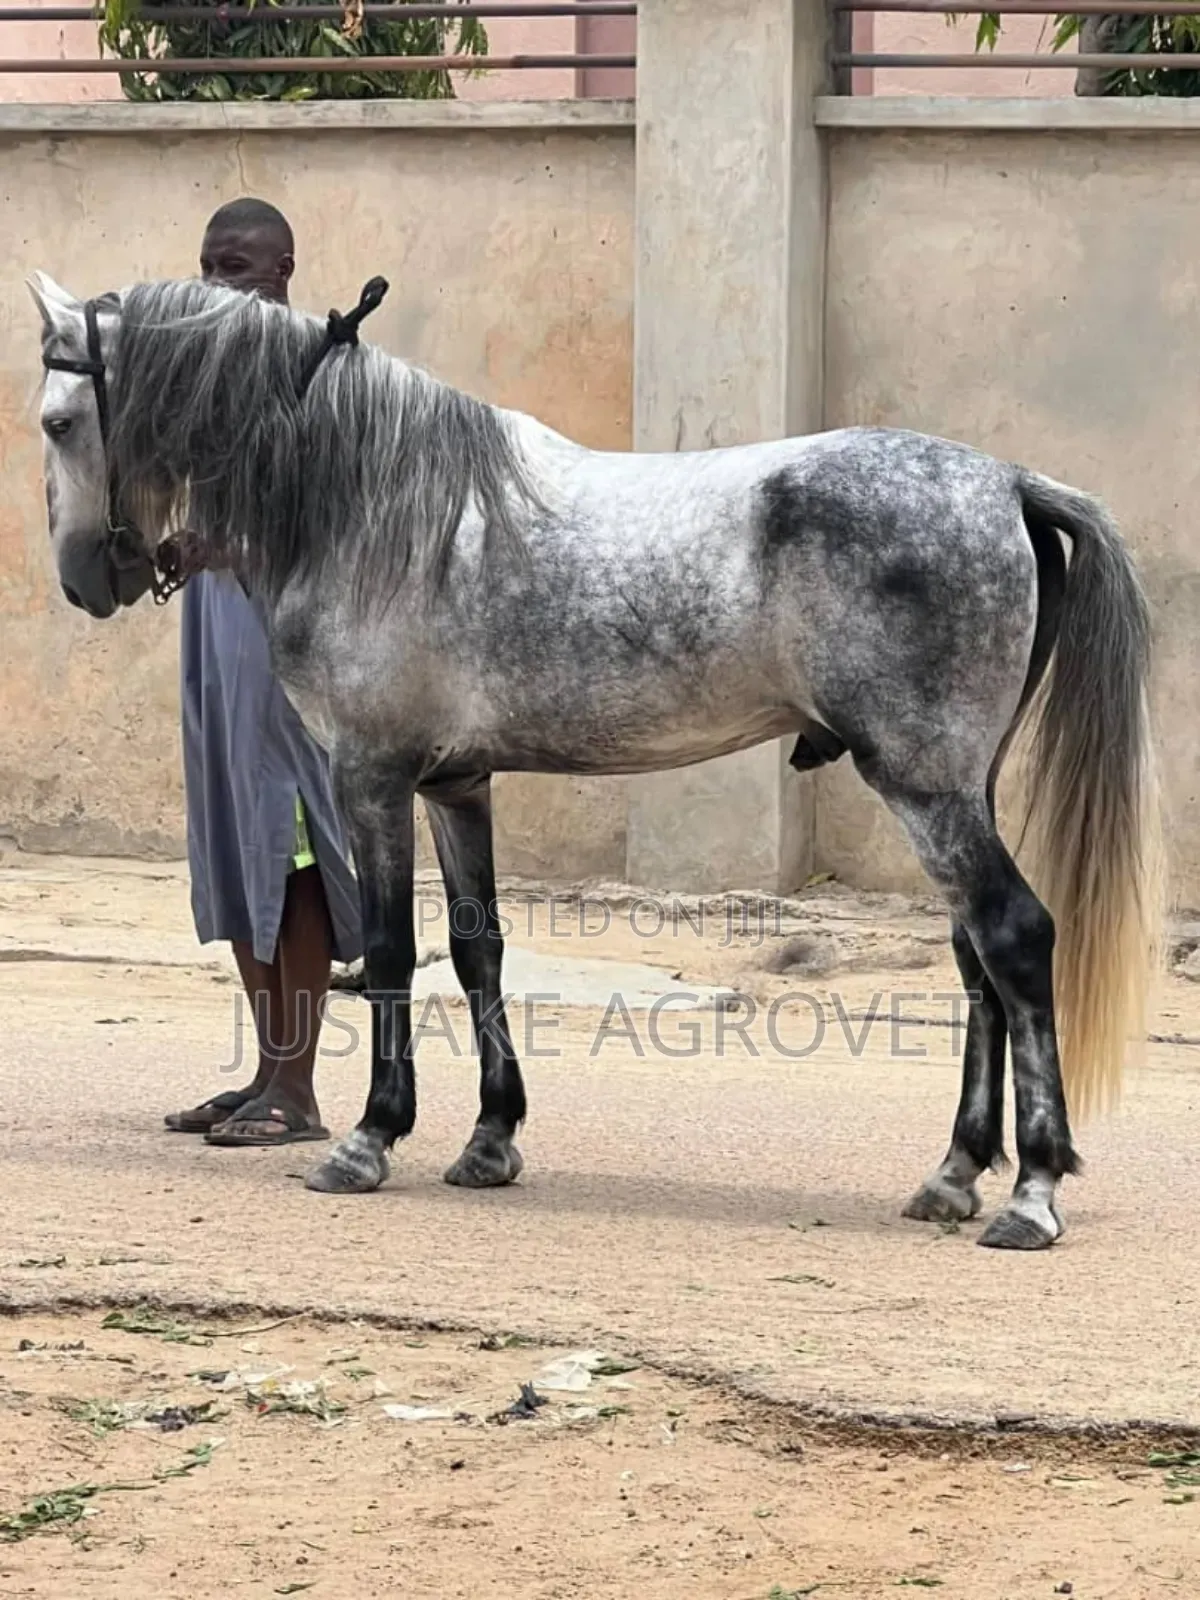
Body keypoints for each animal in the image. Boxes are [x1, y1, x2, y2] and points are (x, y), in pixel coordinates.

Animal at [25, 268, 1164, 1251]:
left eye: (58, 421)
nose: (87, 577)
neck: (372, 501)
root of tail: (1009, 482)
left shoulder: (371, 780)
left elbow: (389, 953)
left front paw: (369, 1139)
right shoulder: (455, 784)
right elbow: (478, 949)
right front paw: (490, 1141)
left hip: (925, 787)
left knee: (1014, 937)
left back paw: (1032, 1191)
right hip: (956, 787)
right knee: (977, 960)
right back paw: (956, 1172)